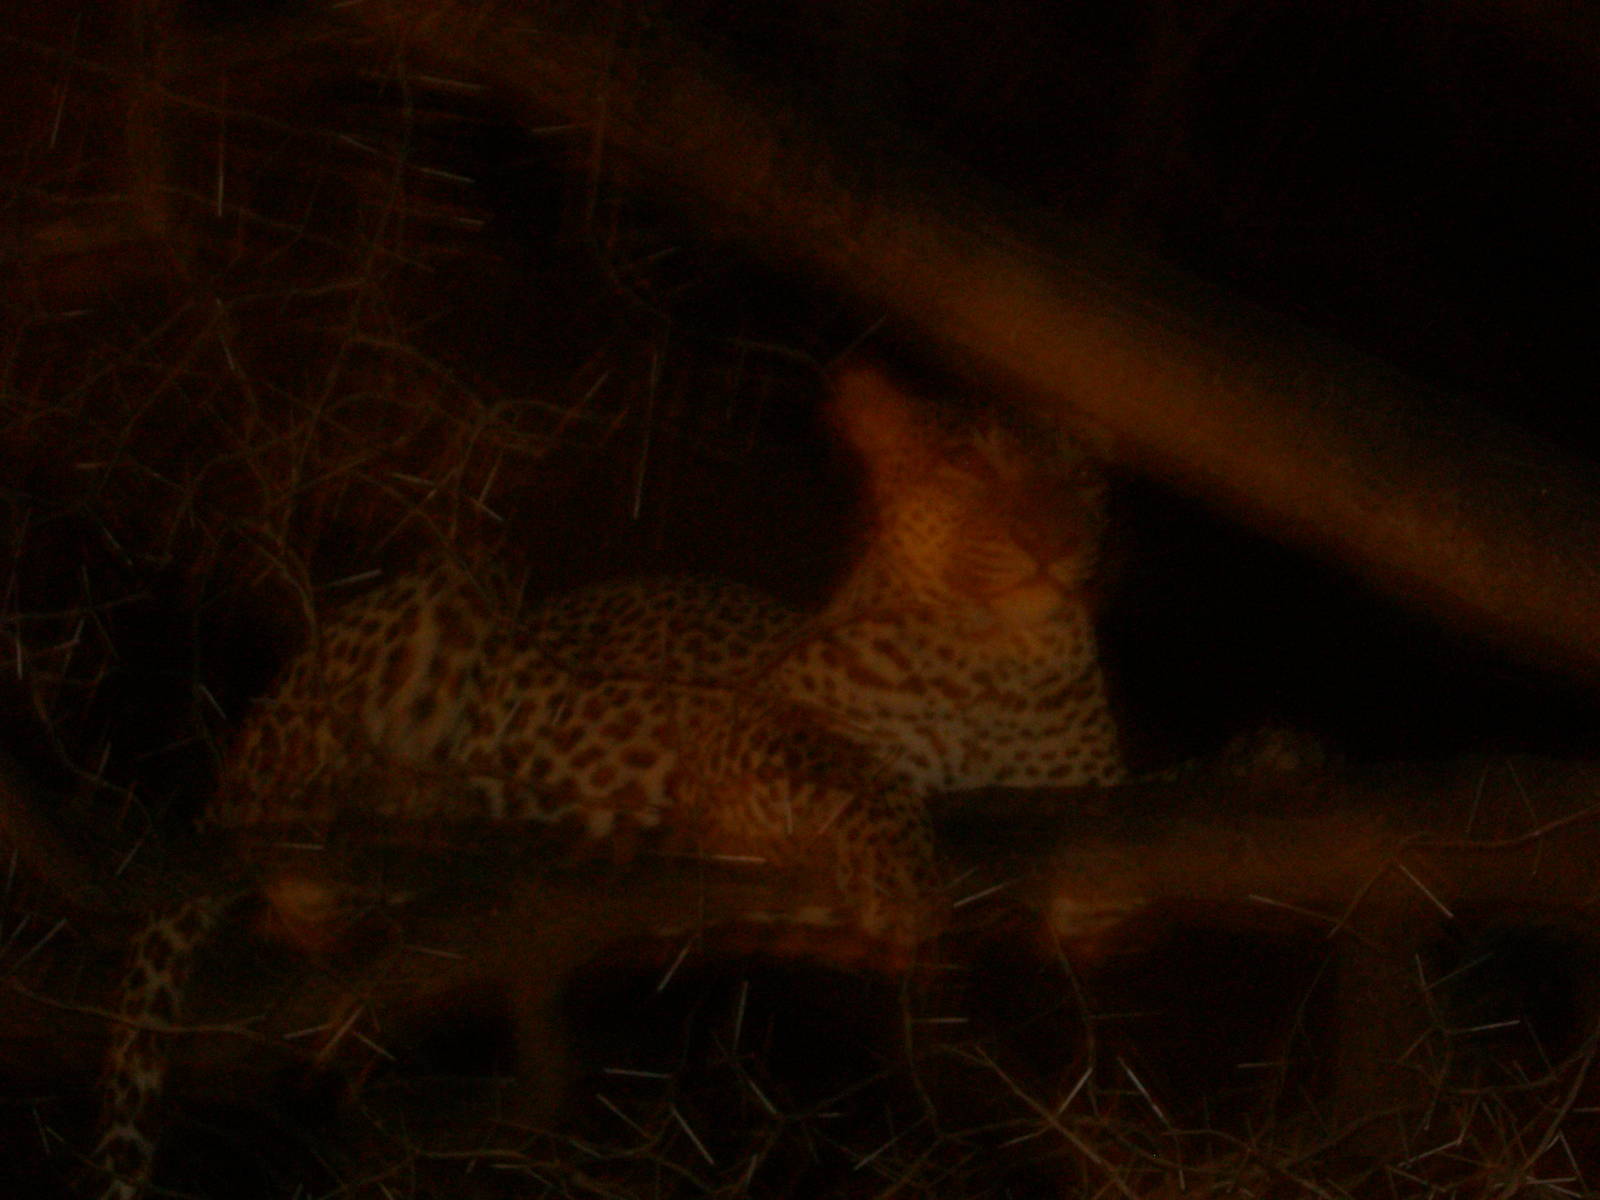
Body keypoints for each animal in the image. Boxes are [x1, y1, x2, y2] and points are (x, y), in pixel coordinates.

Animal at [87, 361, 1123, 1199]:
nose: (1055, 543)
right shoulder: (736, 738)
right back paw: (382, 821)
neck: (997, 659)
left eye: (1080, 480)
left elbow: (1084, 894)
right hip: (455, 594)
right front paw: (900, 872)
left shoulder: (1089, 792)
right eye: (971, 469)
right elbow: (849, 764)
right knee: (294, 817)